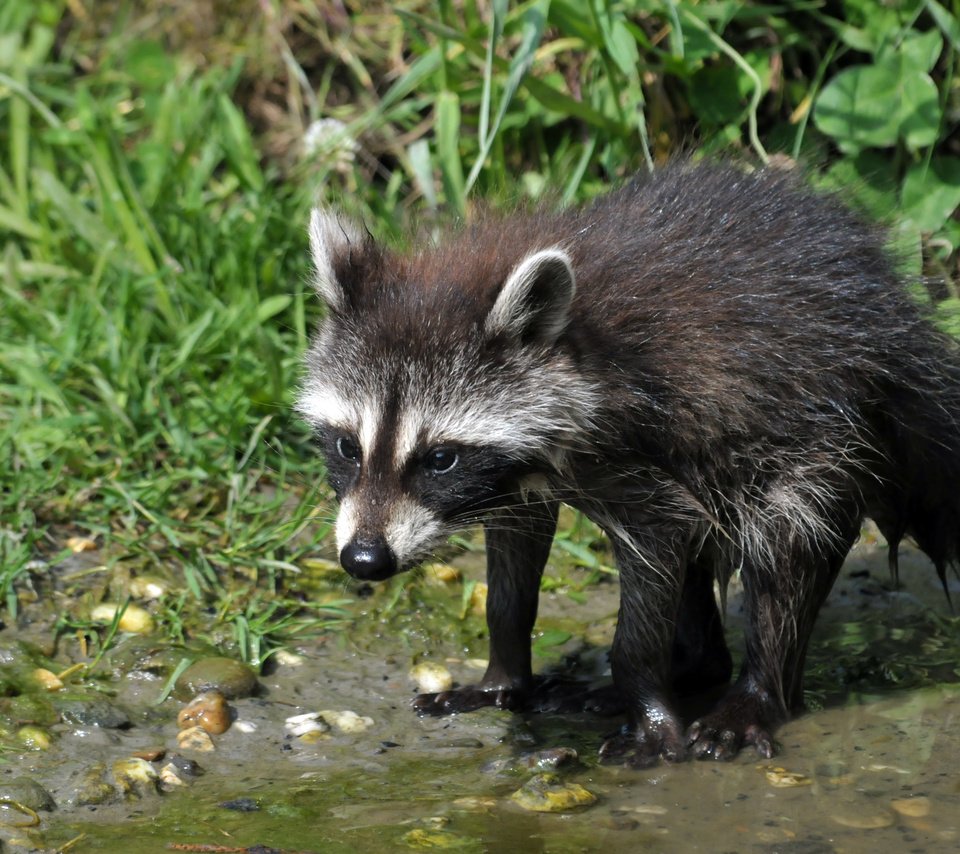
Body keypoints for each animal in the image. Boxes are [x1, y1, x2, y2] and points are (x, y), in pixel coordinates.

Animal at [298, 162, 960, 768]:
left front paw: (647, 699)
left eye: (439, 458)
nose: (363, 561)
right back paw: (698, 666)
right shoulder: (520, 477)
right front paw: (503, 674)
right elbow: (515, 567)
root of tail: (898, 317)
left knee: (784, 548)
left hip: (820, 433)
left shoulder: (636, 449)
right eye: (348, 447)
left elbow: (661, 545)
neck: (573, 344)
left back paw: (756, 691)